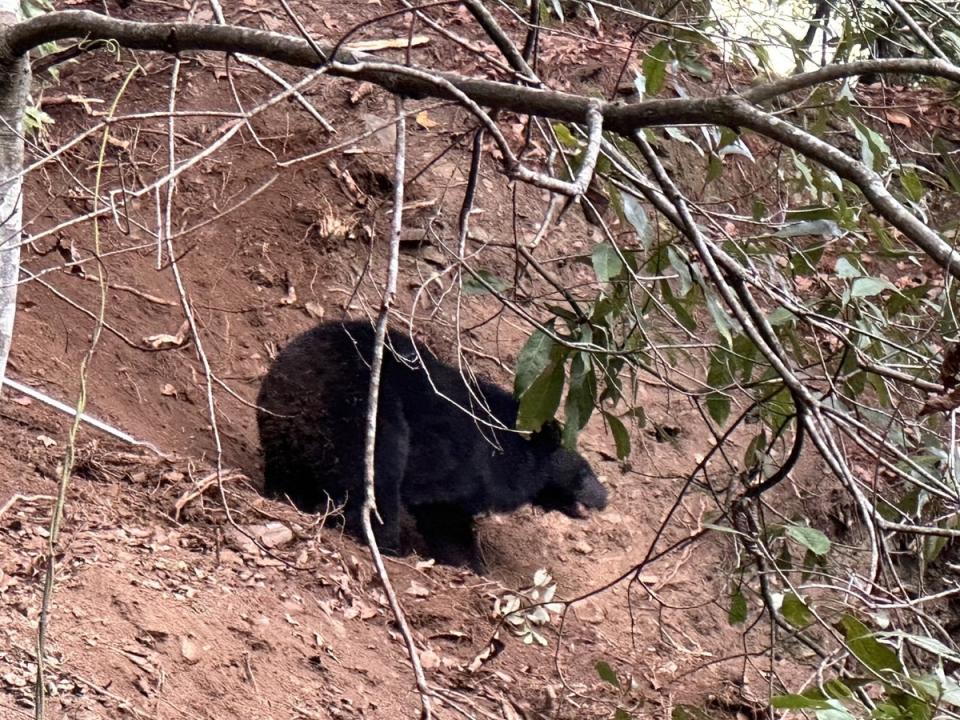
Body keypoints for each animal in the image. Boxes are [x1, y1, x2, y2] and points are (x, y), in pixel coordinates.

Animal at [256, 320, 608, 568]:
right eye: (584, 474)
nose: (606, 497)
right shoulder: (461, 461)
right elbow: (443, 511)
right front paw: (470, 564)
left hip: (284, 435)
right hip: (361, 419)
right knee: (376, 481)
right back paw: (385, 543)